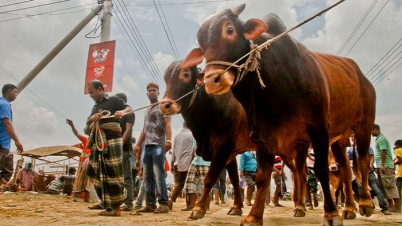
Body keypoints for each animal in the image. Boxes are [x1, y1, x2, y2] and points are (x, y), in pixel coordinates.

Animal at [159, 60, 256, 219]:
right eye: (165, 78)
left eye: (186, 74)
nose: (165, 105)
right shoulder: (231, 153)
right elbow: (235, 179)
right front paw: (236, 207)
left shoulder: (223, 146)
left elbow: (209, 178)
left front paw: (198, 208)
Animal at [184, 3, 376, 226]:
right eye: (201, 43)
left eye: (229, 30)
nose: (211, 80)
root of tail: (360, 75)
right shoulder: (263, 135)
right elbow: (262, 178)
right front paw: (253, 216)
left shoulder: (319, 128)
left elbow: (321, 170)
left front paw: (331, 214)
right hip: (338, 138)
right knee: (345, 170)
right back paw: (348, 208)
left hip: (363, 124)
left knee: (362, 162)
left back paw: (365, 204)